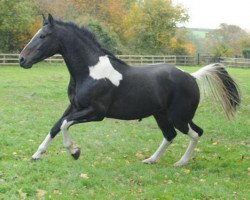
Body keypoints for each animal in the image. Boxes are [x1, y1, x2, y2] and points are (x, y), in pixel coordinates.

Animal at [18, 14, 239, 167]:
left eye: (43, 36)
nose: (22, 59)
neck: (90, 72)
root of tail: (192, 77)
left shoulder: (96, 113)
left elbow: (64, 125)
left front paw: (75, 151)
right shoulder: (74, 107)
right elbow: (56, 126)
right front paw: (36, 155)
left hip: (179, 117)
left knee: (195, 133)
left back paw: (180, 163)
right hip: (163, 115)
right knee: (171, 135)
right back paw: (150, 160)